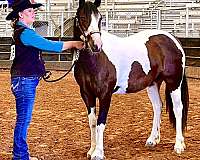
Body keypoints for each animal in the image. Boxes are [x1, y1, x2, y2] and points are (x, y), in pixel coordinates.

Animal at [72, 0, 188, 159]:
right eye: (83, 17)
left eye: (100, 19)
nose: (96, 45)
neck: (95, 60)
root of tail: (174, 40)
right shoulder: (86, 94)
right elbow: (92, 122)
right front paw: (92, 150)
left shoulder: (105, 95)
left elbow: (101, 123)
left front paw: (98, 153)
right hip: (153, 84)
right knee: (158, 106)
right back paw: (152, 140)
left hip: (174, 83)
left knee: (178, 108)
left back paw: (179, 145)